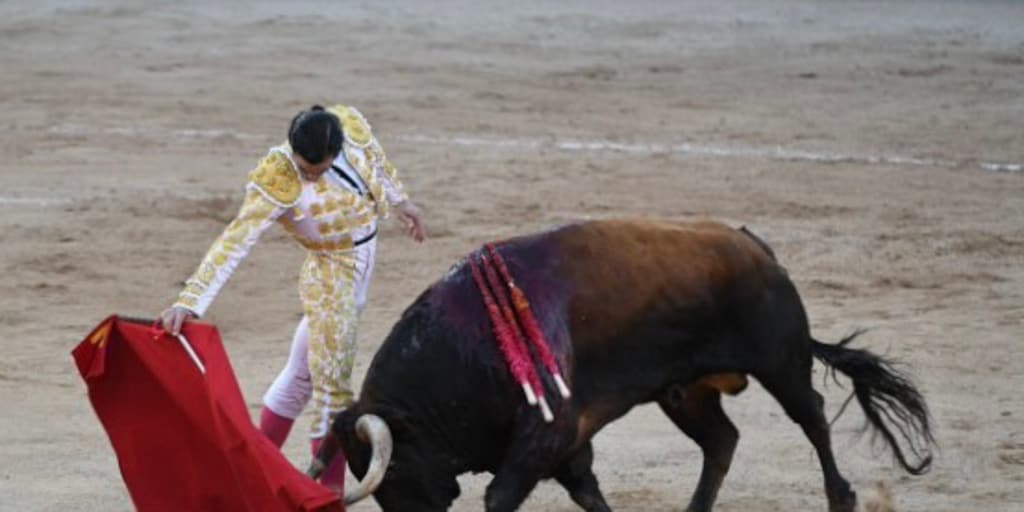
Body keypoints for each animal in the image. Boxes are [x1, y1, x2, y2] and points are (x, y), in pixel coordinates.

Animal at [313, 218, 937, 509]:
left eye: (392, 468)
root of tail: (755, 245)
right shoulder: (566, 443)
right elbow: (589, 492)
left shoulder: (544, 433)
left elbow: (501, 496)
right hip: (684, 391)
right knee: (722, 440)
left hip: (781, 361)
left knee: (812, 417)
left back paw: (842, 497)